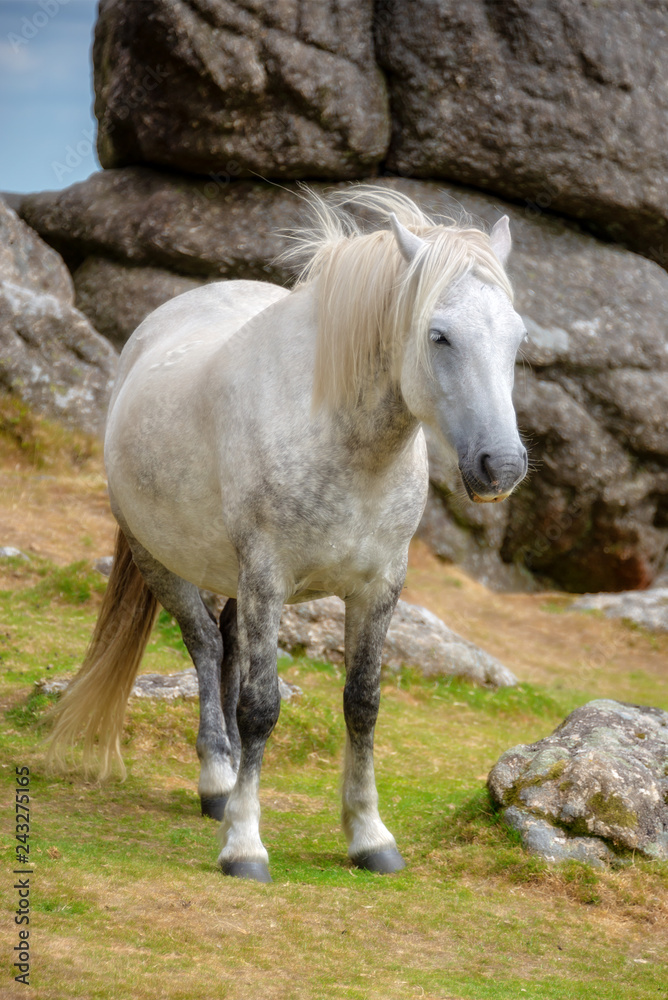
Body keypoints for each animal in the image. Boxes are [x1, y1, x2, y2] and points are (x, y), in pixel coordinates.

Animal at [48, 186, 528, 882]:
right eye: (439, 335)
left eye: (517, 337)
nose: (503, 466)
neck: (342, 441)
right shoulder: (268, 581)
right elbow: (261, 708)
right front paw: (245, 846)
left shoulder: (379, 588)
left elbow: (363, 704)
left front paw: (369, 837)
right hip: (161, 560)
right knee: (205, 648)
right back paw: (218, 781)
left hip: (232, 580)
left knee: (225, 645)